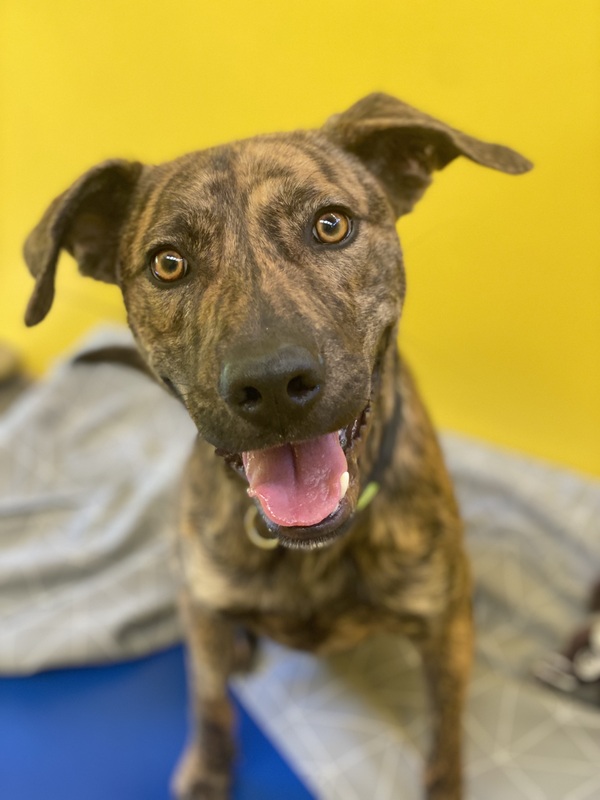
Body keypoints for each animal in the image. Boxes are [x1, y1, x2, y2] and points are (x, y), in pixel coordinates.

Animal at [23, 93, 531, 799]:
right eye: (167, 263)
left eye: (331, 225)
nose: (271, 386)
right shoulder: (202, 603)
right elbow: (208, 698)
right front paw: (208, 769)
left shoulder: (446, 629)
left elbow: (445, 735)